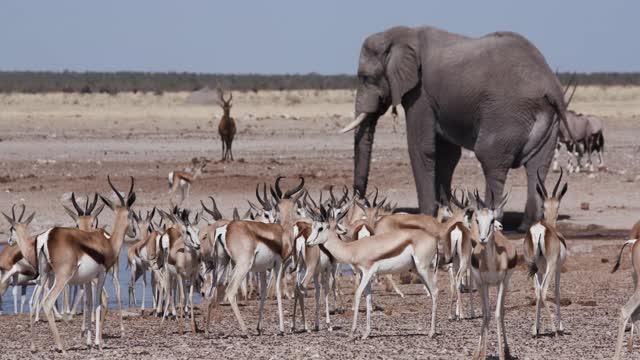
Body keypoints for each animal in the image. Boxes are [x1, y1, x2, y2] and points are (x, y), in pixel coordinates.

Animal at [342, 26, 572, 232]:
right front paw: (444, 213)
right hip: (549, 122)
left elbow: (422, 148)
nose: (359, 201)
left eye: (366, 78)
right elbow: (448, 155)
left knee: (491, 160)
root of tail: (551, 86)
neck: (403, 34)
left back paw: (493, 219)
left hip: (507, 113)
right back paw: (527, 226)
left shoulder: (421, 94)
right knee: (538, 166)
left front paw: (426, 215)